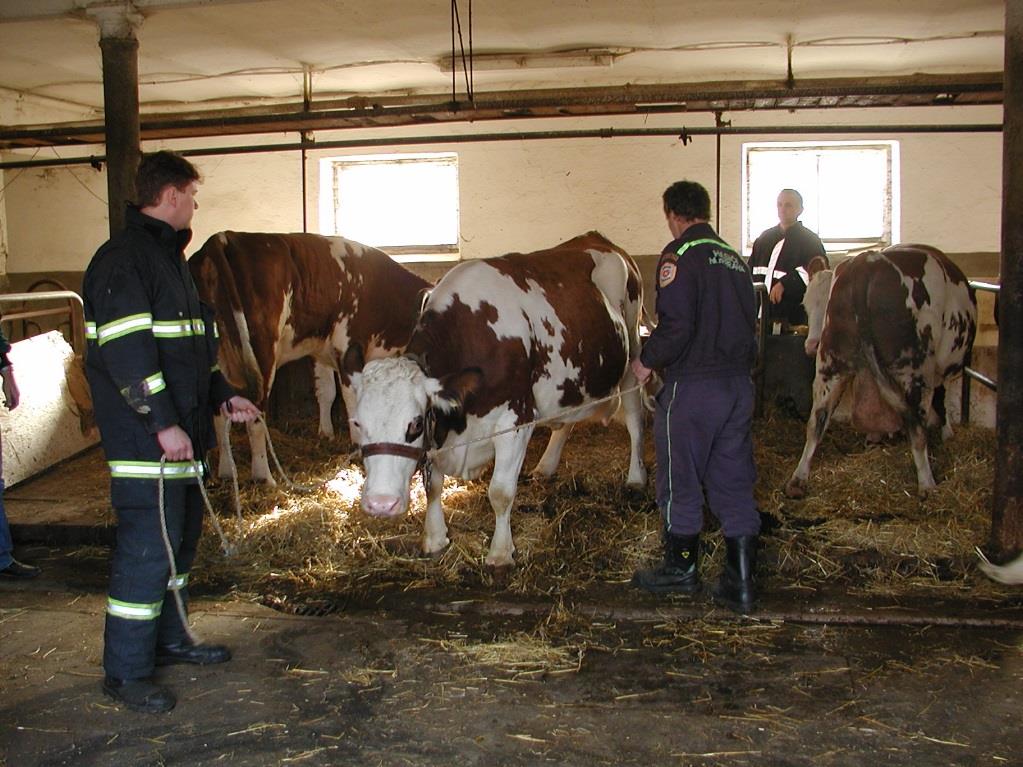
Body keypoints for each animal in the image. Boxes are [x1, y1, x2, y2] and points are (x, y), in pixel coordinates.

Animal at [190, 228, 429, 482]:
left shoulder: (320, 350)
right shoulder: (350, 348)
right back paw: (265, 477)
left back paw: (226, 471)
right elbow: (351, 397)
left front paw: (325, 434)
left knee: (218, 415)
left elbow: (326, 392)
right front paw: (357, 443)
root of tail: (224, 237)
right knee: (254, 418)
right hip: (262, 351)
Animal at [343, 231, 646, 568]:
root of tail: (597, 238)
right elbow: (433, 486)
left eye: (416, 424)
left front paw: (500, 553)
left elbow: (500, 492)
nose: (381, 504)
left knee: (635, 418)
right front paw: (435, 538)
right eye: (357, 423)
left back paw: (636, 478)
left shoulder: (516, 421)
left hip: (633, 350)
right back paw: (546, 465)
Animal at [785, 243, 977, 501]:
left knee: (817, 421)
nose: (811, 345)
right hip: (916, 367)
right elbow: (942, 399)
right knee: (917, 426)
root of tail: (865, 263)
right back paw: (927, 485)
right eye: (806, 305)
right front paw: (947, 434)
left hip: (829, 363)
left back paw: (798, 480)